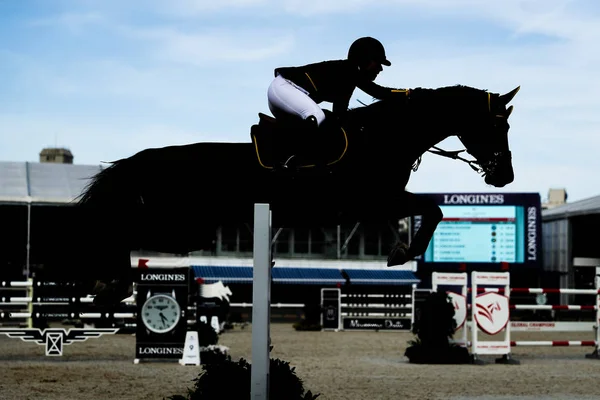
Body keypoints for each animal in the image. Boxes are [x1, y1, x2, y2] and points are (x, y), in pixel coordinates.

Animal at [43, 83, 520, 304]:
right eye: (498, 125)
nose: (505, 177)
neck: (383, 137)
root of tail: (143, 159)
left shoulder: (378, 201)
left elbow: (430, 210)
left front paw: (400, 251)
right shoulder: (372, 198)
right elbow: (433, 209)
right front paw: (402, 252)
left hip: (186, 227)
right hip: (180, 224)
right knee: (118, 229)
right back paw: (108, 281)